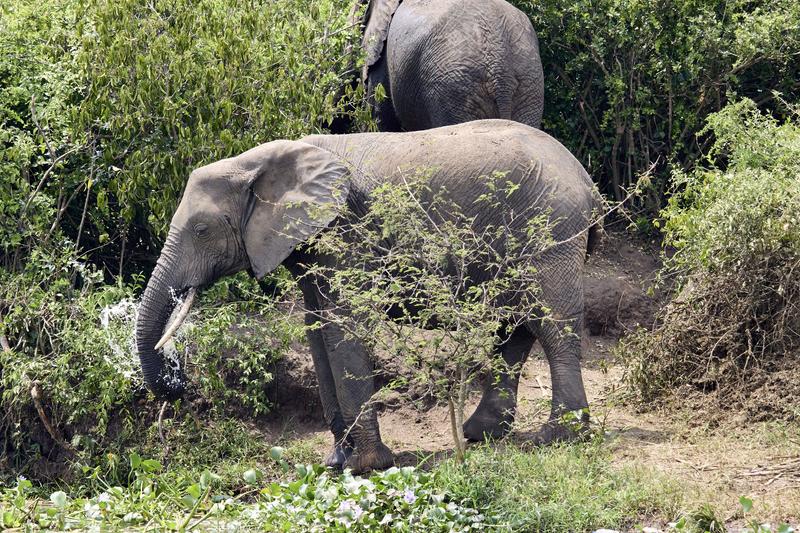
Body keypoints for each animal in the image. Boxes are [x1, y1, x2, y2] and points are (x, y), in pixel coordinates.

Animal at [136, 119, 600, 470]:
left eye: (202, 230)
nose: (178, 385)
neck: (256, 161)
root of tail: (586, 179)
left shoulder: (344, 228)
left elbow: (343, 326)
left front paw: (368, 466)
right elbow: (317, 327)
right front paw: (336, 462)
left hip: (552, 228)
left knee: (550, 323)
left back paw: (559, 436)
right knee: (515, 325)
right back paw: (480, 433)